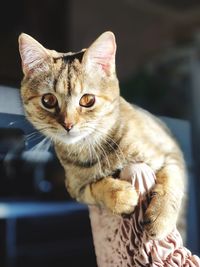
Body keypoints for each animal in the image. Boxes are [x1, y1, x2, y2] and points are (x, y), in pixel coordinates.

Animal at [18, 31, 186, 241]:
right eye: (48, 100)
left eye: (87, 100)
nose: (68, 125)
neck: (92, 146)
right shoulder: (75, 188)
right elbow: (94, 187)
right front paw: (119, 194)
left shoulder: (170, 152)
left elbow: (171, 182)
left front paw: (161, 217)